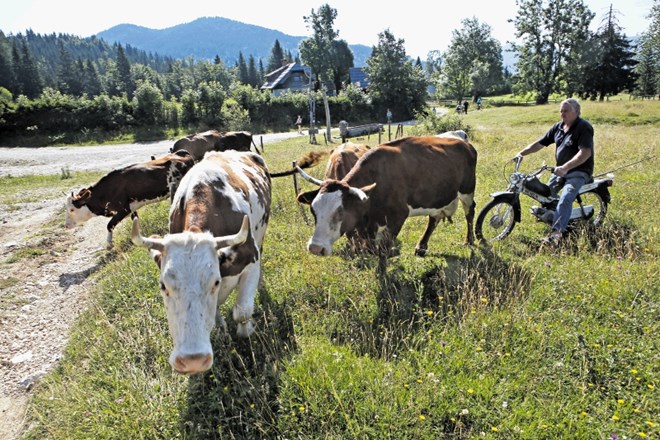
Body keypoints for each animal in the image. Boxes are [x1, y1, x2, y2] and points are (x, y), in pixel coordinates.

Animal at [65, 150, 197, 248]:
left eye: (72, 209)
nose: (66, 226)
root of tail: (182, 152)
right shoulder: (131, 208)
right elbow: (135, 219)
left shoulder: (123, 209)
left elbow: (109, 225)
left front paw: (109, 244)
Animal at [131, 150, 270, 372]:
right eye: (163, 286)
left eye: (215, 282)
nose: (192, 361)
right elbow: (217, 317)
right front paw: (221, 332)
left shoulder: (250, 260)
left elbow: (242, 311)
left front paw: (246, 331)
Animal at [296, 136, 476, 256]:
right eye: (313, 210)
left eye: (341, 211)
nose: (315, 248)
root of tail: (465, 143)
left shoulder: (398, 216)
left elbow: (383, 251)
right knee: (434, 218)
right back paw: (421, 246)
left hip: (467, 190)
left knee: (470, 212)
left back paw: (470, 240)